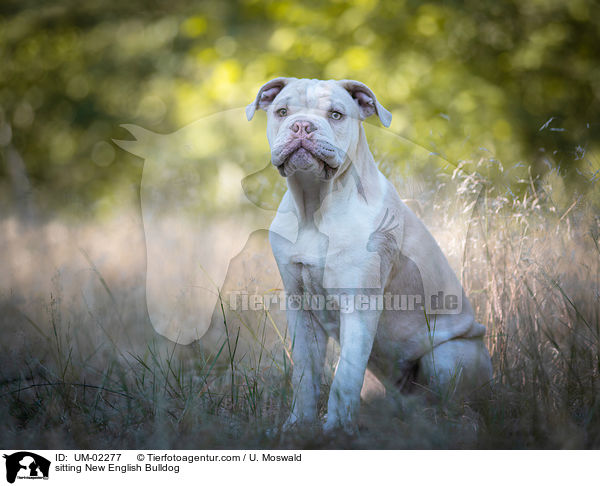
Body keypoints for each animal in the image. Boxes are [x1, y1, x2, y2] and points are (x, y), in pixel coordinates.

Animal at [245, 77, 492, 432]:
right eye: (282, 111)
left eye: (335, 114)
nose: (302, 125)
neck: (314, 205)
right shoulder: (301, 308)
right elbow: (305, 376)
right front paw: (297, 425)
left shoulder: (359, 306)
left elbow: (344, 379)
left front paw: (335, 431)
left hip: (446, 355)